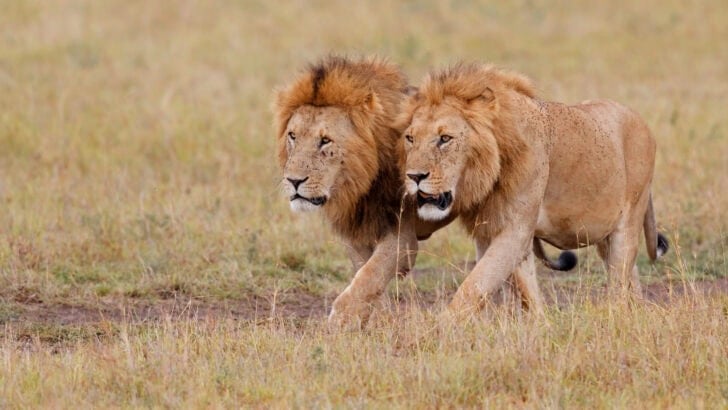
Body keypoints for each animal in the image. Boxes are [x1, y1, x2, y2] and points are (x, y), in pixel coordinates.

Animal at [274, 56, 579, 327]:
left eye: (325, 141)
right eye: (293, 136)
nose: (293, 181)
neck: (356, 184)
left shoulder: (403, 237)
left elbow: (369, 276)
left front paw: (342, 319)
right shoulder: (355, 233)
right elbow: (366, 277)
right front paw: (378, 322)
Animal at [400, 62, 669, 317]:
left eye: (445, 138)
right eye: (410, 138)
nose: (414, 176)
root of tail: (639, 119)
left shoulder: (516, 229)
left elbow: (475, 285)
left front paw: (439, 329)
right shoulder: (489, 229)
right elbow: (521, 289)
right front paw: (540, 323)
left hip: (629, 221)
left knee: (619, 281)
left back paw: (616, 315)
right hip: (604, 232)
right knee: (630, 277)